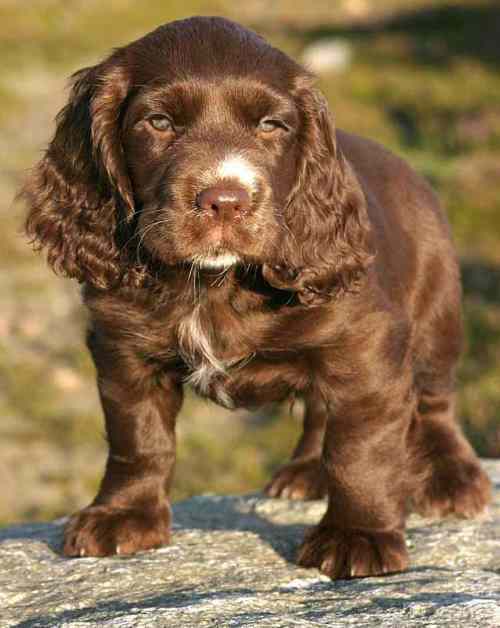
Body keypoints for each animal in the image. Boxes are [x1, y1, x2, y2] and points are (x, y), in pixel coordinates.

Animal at [21, 15, 490, 580]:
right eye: (159, 122)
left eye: (271, 126)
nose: (225, 201)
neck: (215, 282)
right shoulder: (123, 347)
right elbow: (138, 437)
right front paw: (123, 516)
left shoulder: (365, 346)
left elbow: (362, 449)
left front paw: (358, 536)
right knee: (321, 408)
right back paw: (307, 472)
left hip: (438, 308)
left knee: (435, 399)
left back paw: (451, 478)